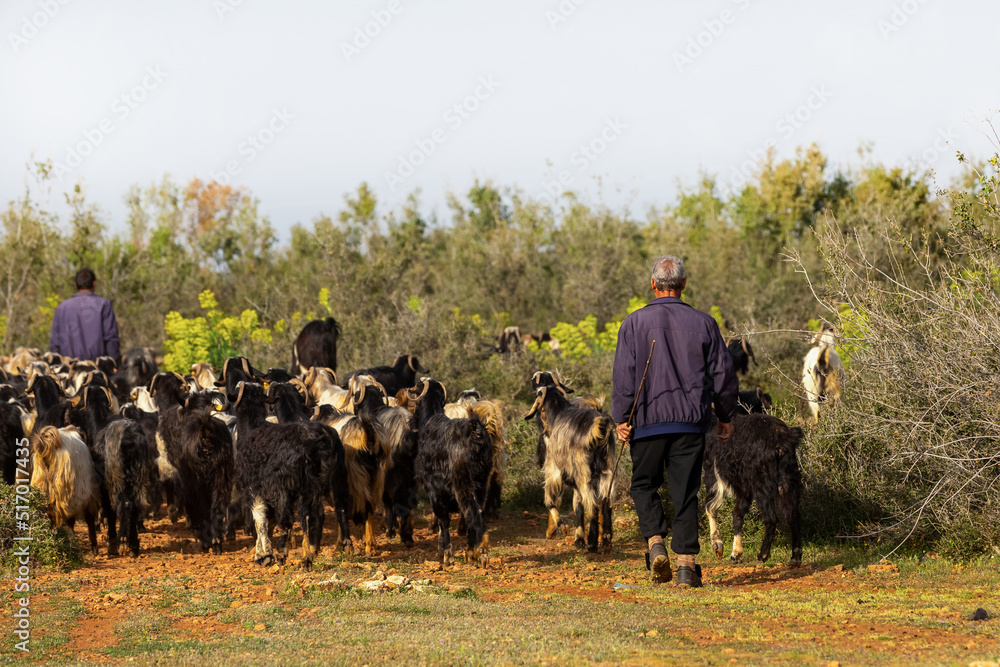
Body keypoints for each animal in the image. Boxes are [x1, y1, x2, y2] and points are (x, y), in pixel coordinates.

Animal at [412, 380, 494, 564]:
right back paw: (475, 551)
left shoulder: (434, 488)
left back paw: (477, 552)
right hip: (482, 482)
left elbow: (443, 519)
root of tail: (476, 431)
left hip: (462, 483)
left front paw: (446, 555)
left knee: (471, 511)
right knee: (478, 511)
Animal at [524, 386, 616, 552]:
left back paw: (592, 543)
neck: (557, 415)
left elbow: (550, 501)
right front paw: (578, 538)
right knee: (606, 504)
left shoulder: (554, 472)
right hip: (607, 472)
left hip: (584, 476)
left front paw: (563, 527)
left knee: (592, 506)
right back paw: (606, 539)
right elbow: (578, 507)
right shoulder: (575, 483)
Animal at [704, 414, 804, 568]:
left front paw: (717, 546)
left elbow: (710, 507)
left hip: (762, 484)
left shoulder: (714, 474)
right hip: (787, 479)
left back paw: (763, 555)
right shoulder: (744, 487)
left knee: (771, 518)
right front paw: (736, 554)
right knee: (792, 514)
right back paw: (795, 557)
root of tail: (782, 438)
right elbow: (737, 514)